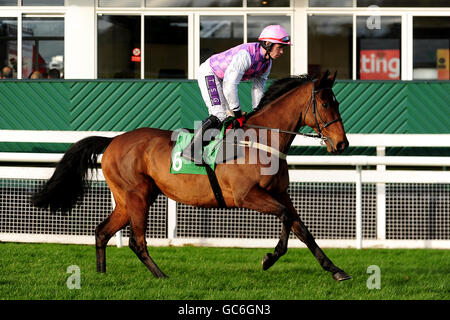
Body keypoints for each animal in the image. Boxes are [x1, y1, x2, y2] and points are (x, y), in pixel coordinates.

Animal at [33, 71, 354, 282]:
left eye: (338, 103)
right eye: (326, 104)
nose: (342, 144)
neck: (262, 140)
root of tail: (113, 140)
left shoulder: (280, 193)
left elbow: (303, 230)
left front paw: (336, 270)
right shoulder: (247, 196)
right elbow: (287, 219)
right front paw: (269, 258)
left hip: (129, 199)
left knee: (102, 231)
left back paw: (102, 276)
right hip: (137, 196)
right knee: (137, 241)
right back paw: (161, 275)